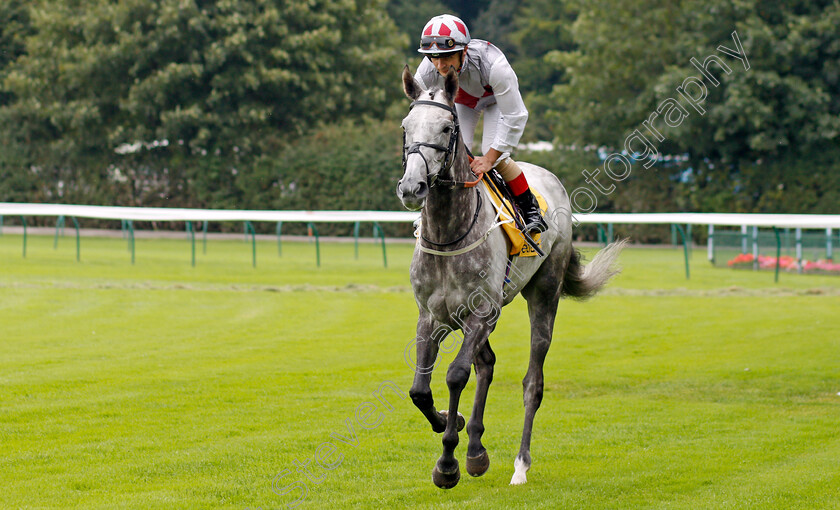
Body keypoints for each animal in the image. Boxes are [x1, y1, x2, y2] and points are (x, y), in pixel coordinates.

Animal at [398, 65, 628, 488]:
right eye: (406, 127)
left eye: (446, 127)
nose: (412, 187)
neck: (449, 233)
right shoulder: (432, 315)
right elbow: (420, 388)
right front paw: (452, 424)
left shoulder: (482, 314)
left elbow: (456, 375)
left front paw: (447, 464)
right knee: (487, 364)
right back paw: (476, 449)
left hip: (544, 292)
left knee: (532, 382)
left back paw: (519, 464)